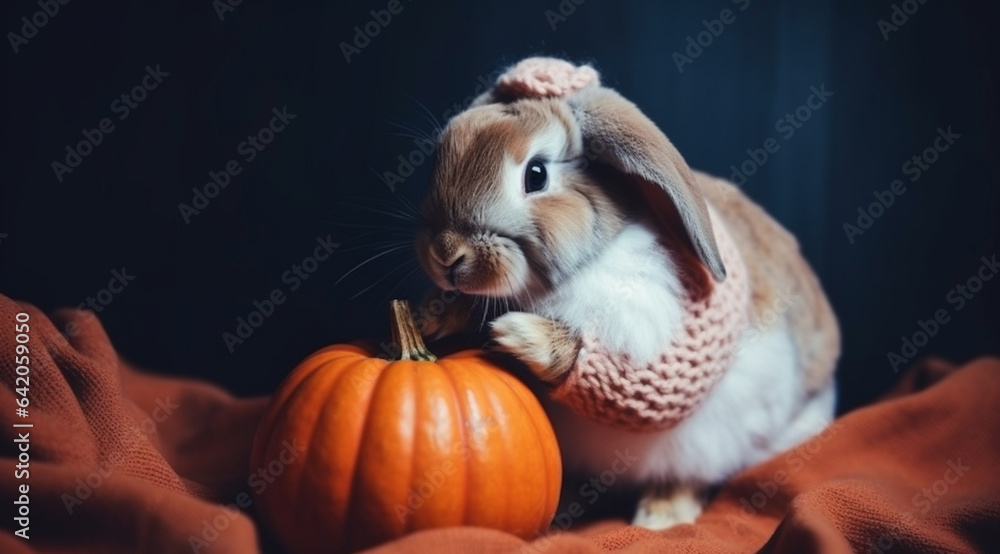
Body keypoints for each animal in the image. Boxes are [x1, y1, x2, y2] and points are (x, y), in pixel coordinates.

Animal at [413, 57, 840, 529]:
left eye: (536, 174)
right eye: (441, 153)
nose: (446, 254)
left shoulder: (663, 348)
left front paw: (521, 335)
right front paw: (430, 317)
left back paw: (661, 515)